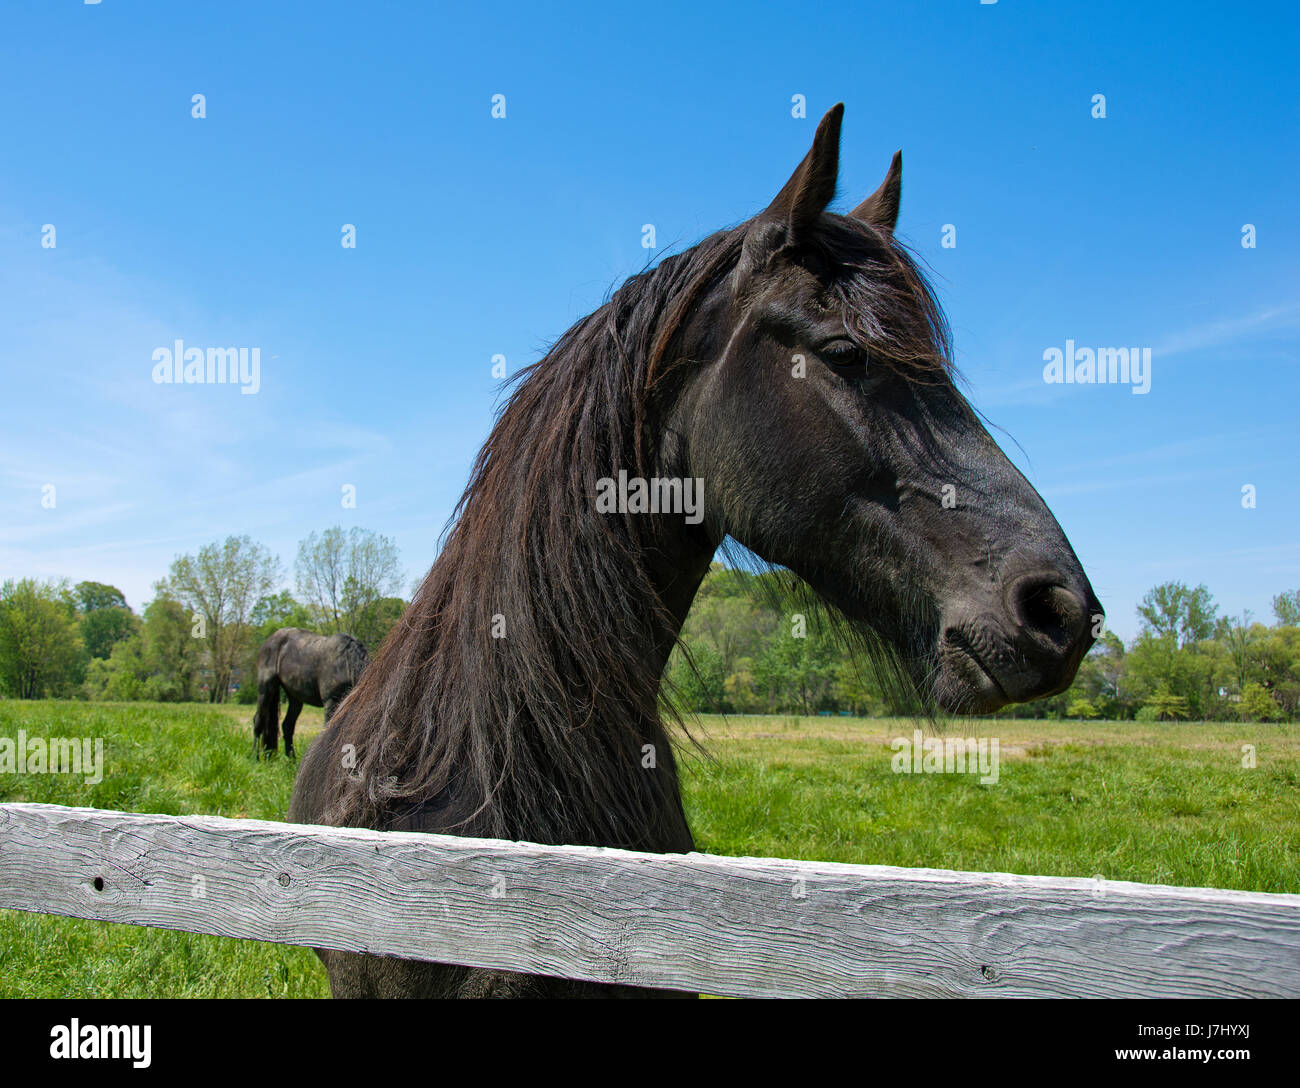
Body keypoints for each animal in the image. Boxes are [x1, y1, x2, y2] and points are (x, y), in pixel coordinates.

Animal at [252, 628, 368, 758]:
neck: (347, 664)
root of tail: (270, 640)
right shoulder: (331, 702)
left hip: (295, 698)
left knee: (287, 726)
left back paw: (291, 759)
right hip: (265, 689)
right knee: (258, 721)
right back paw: (255, 757)